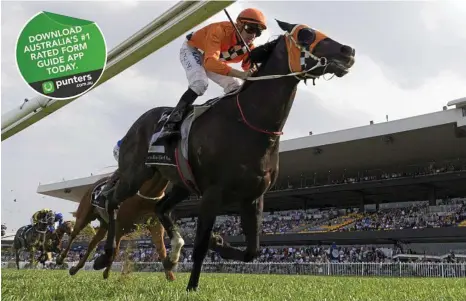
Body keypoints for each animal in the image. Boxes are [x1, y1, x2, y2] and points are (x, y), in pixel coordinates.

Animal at [93, 18, 356, 288]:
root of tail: (137, 124)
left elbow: (252, 250)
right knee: (112, 201)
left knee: (161, 208)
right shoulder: (212, 193)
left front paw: (218, 242)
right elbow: (200, 245)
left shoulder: (253, 197)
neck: (249, 122)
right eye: (305, 34)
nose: (348, 51)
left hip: (180, 183)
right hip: (135, 174)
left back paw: (173, 254)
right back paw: (105, 253)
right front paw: (192, 287)